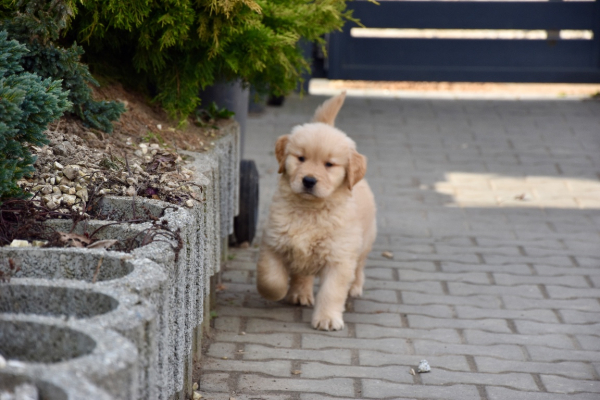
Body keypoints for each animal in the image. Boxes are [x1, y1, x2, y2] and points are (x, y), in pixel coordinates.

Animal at [255, 92, 378, 330]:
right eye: (300, 158)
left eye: (329, 164)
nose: (309, 180)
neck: (309, 210)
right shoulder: (273, 242)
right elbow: (270, 277)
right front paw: (276, 292)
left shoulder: (339, 257)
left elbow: (332, 291)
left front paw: (328, 318)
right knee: (303, 272)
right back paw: (299, 293)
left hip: (365, 241)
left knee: (360, 266)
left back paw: (355, 287)